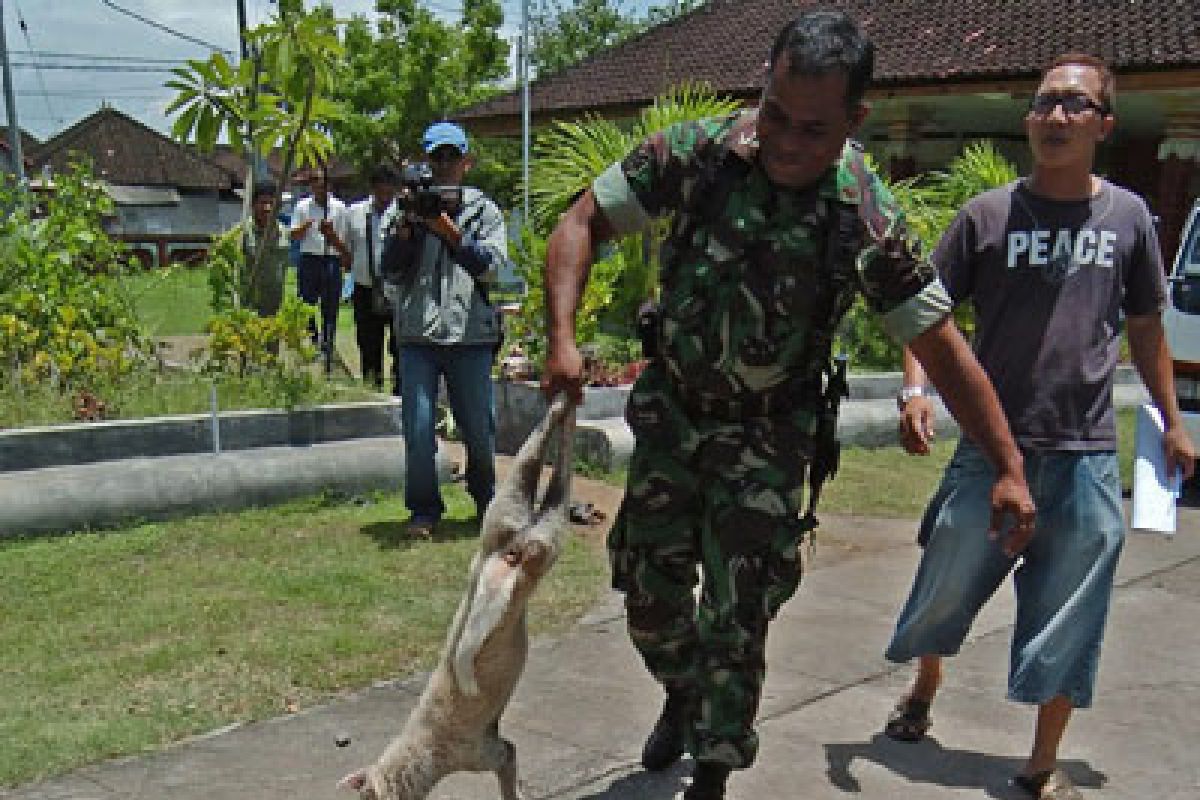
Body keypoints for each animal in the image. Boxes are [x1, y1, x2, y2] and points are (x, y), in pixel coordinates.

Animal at [340, 395, 578, 800]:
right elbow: (511, 755)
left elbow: (507, 761)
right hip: (524, 529)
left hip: (506, 541)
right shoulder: (495, 746)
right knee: (546, 483)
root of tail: (513, 549)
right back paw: (565, 406)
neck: (423, 752)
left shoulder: (477, 750)